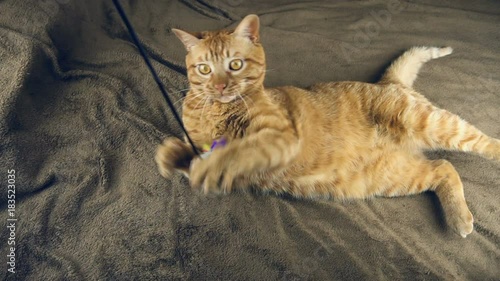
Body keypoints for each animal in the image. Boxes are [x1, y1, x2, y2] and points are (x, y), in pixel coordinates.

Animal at [157, 13, 500, 236]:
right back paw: (458, 218)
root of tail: (386, 82)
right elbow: (194, 152)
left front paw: (207, 165)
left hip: (429, 122)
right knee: (443, 166)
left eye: (235, 64)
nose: (219, 86)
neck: (217, 110)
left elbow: (235, 151)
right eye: (204, 68)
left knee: (479, 142)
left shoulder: (280, 137)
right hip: (395, 176)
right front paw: (172, 154)